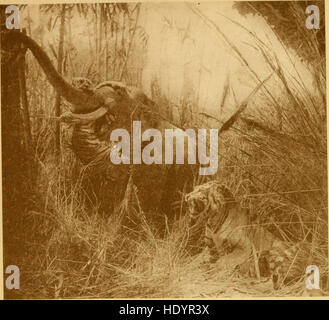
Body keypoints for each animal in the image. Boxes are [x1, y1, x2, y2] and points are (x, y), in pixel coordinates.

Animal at [183, 180, 316, 290]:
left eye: (200, 190)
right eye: (194, 188)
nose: (187, 196)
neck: (211, 221)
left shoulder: (244, 247)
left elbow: (225, 260)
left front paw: (216, 270)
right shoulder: (211, 249)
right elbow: (202, 260)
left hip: (275, 253)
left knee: (278, 279)